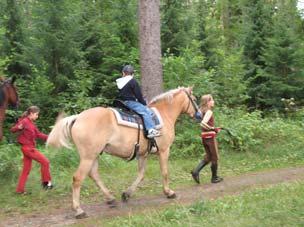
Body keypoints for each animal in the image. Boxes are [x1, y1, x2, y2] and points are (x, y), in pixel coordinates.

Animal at [47, 87, 200, 218]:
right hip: (88, 157)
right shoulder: (164, 151)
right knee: (78, 178)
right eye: (194, 99)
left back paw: (110, 198)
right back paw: (79, 210)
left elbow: (141, 174)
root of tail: (78, 117)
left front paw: (127, 194)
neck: (165, 113)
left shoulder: (142, 154)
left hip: (94, 155)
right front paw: (169, 192)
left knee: (94, 175)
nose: (200, 115)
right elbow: (164, 172)